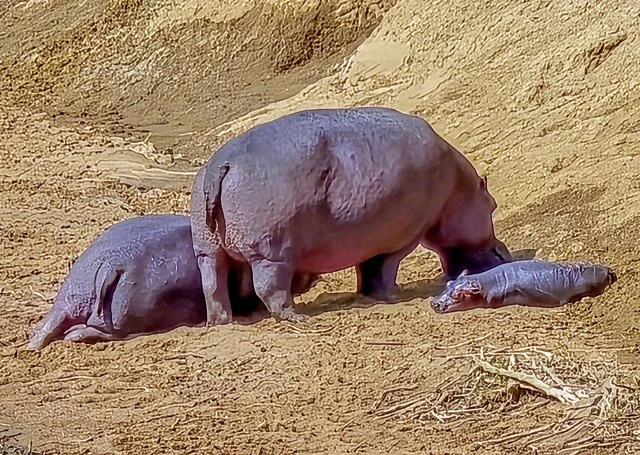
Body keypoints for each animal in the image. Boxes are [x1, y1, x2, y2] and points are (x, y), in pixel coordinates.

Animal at [191, 106, 512, 326]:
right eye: (493, 205)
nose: (504, 252)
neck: (459, 187)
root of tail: (223, 163)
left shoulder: (370, 237)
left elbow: (366, 269)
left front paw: (369, 294)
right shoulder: (405, 236)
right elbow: (383, 268)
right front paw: (393, 297)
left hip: (207, 248)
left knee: (213, 284)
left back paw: (220, 322)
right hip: (271, 253)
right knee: (270, 287)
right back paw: (296, 317)